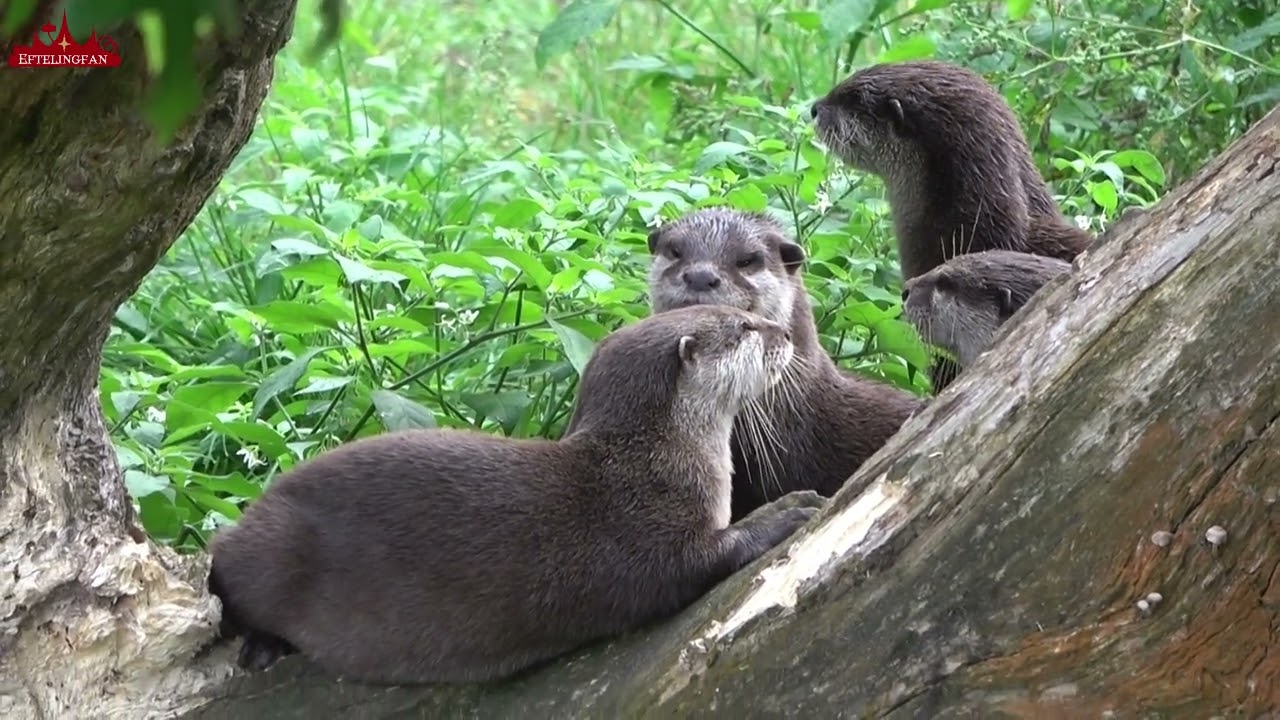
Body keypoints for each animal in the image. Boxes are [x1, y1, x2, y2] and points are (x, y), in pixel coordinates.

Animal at [207, 304, 827, 685]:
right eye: (746, 326)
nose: (786, 335)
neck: (658, 458)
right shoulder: (646, 528)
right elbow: (696, 559)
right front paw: (784, 511)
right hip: (271, 548)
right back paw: (263, 647)